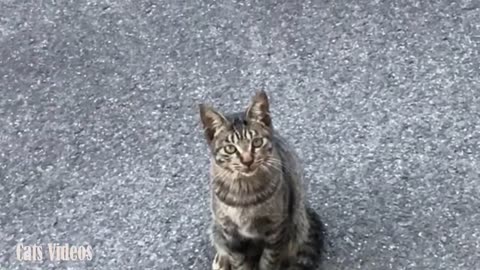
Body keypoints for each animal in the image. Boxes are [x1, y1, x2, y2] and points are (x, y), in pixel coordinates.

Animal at [197, 91, 324, 270]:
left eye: (256, 142)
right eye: (230, 148)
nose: (247, 160)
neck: (244, 192)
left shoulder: (276, 229)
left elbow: (269, 260)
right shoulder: (230, 233)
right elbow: (238, 260)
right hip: (217, 226)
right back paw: (222, 259)